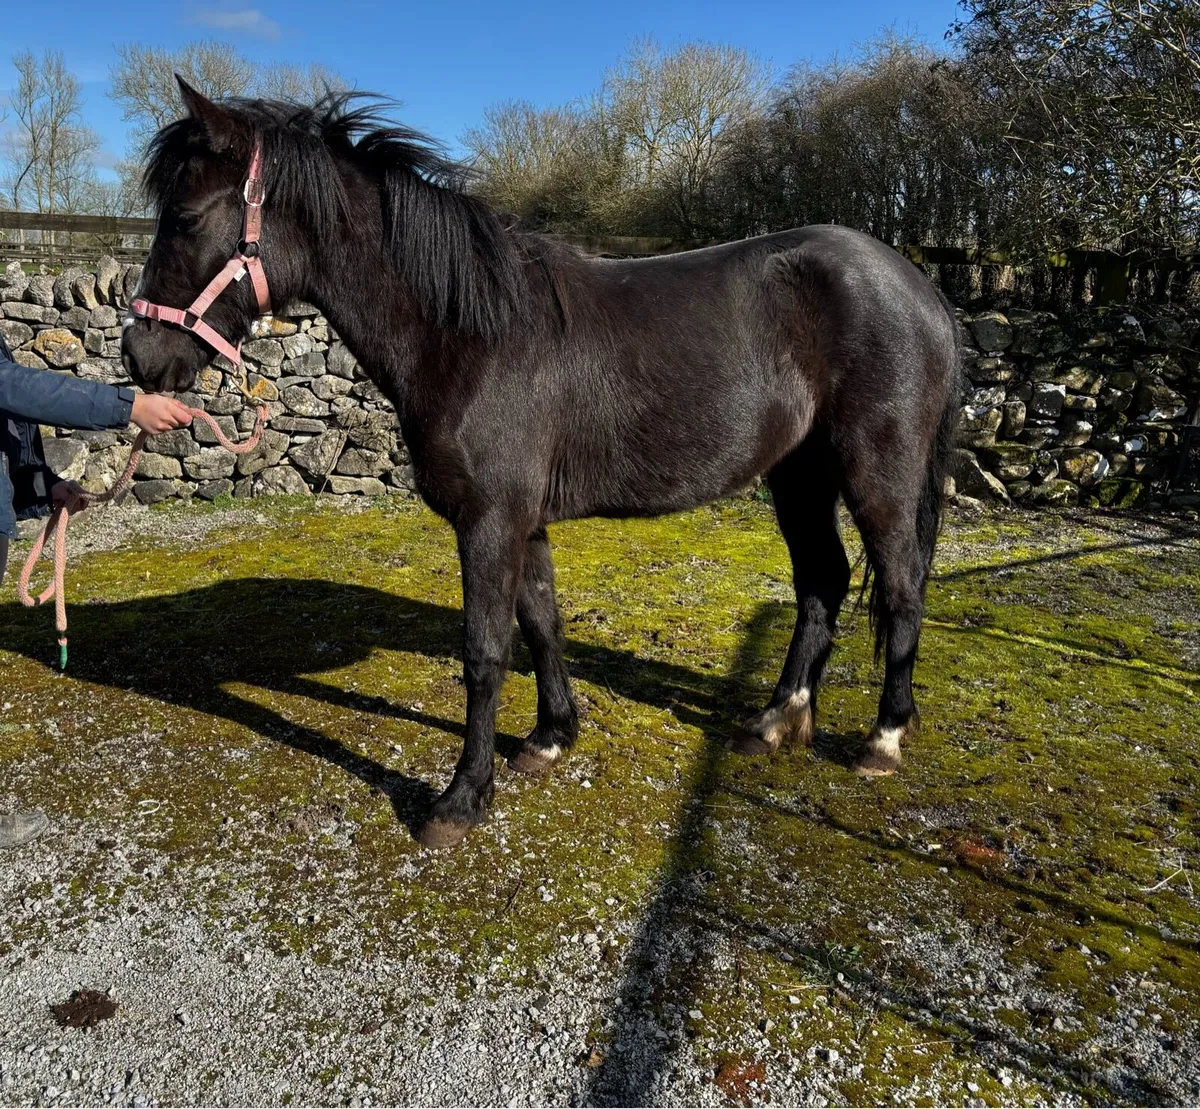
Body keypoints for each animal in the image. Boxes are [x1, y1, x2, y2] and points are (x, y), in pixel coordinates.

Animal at [121, 81, 962, 848]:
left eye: (186, 217)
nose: (139, 356)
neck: (471, 334)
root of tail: (920, 286)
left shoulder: (490, 520)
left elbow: (485, 652)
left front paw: (461, 798)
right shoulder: (522, 522)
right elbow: (543, 623)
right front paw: (552, 737)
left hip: (878, 472)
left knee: (900, 585)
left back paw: (883, 737)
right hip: (798, 475)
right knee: (823, 581)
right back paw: (775, 720)